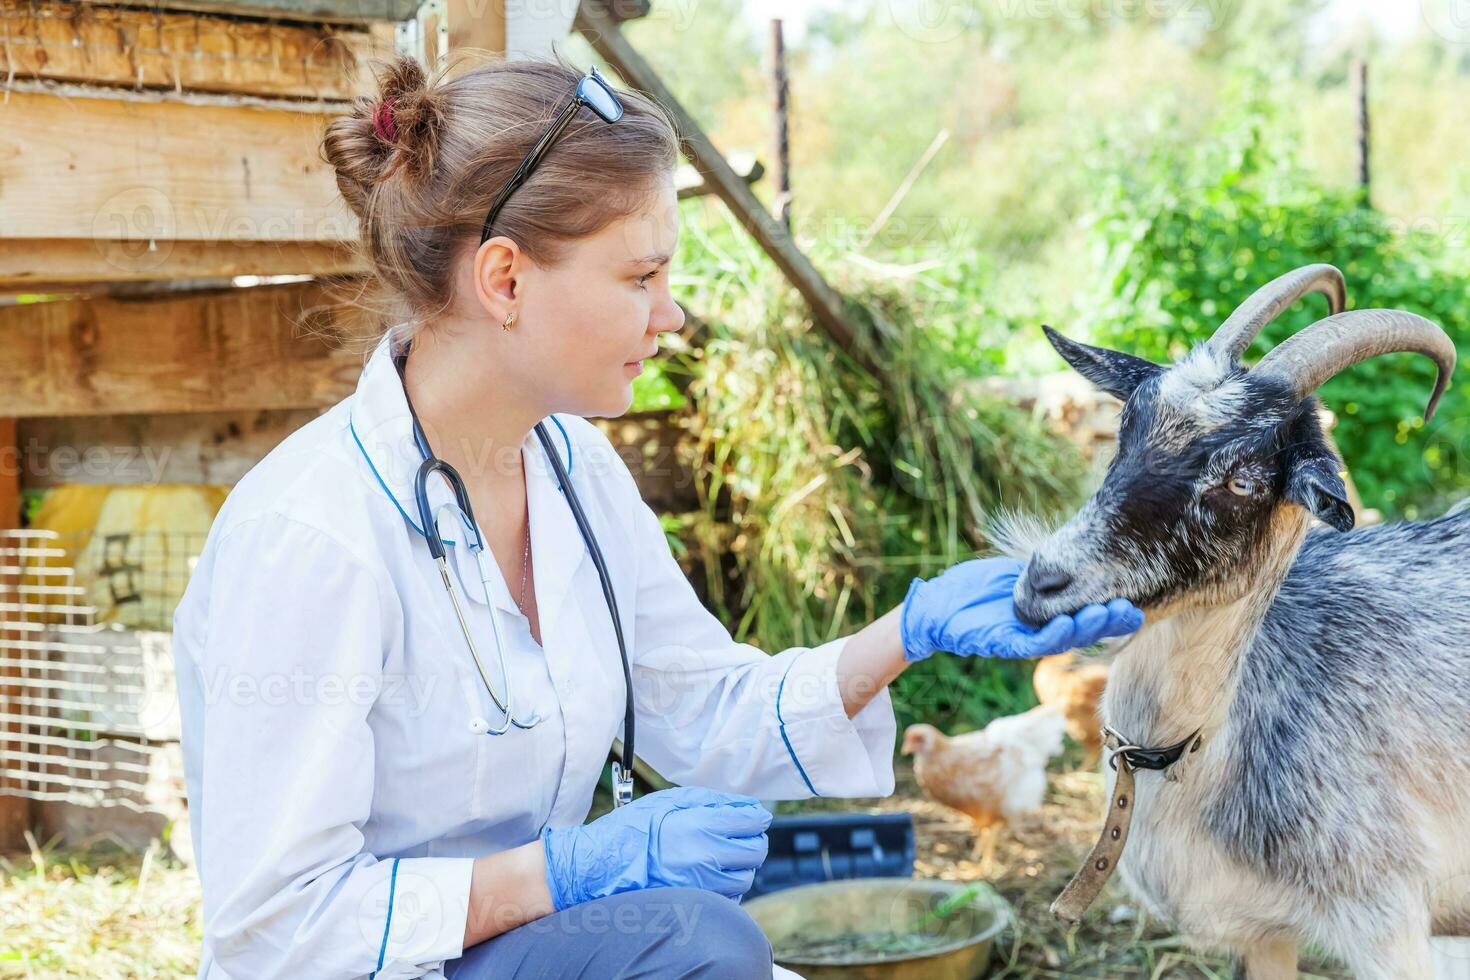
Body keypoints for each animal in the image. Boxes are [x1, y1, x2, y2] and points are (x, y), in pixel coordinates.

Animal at [1005, 262, 1470, 980]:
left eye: (1245, 481)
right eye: (1126, 431)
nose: (1043, 581)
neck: (1199, 753)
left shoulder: (1391, 930)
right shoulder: (1260, 934)